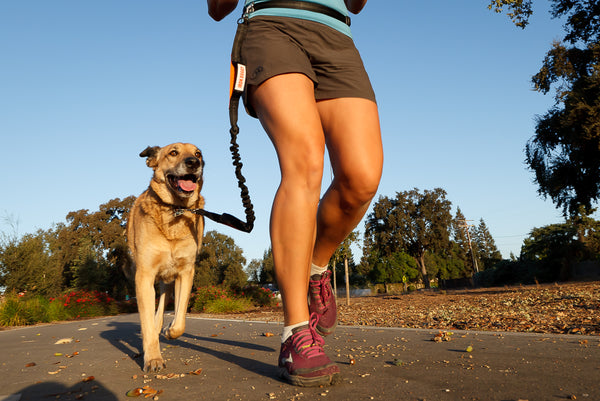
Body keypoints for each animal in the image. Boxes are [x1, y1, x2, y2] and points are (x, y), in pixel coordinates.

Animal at [127, 142, 205, 370]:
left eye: (198, 153)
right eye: (173, 152)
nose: (193, 163)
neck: (175, 210)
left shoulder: (186, 272)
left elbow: (180, 319)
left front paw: (170, 331)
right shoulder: (144, 276)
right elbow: (146, 324)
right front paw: (153, 358)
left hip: (169, 280)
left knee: (163, 305)